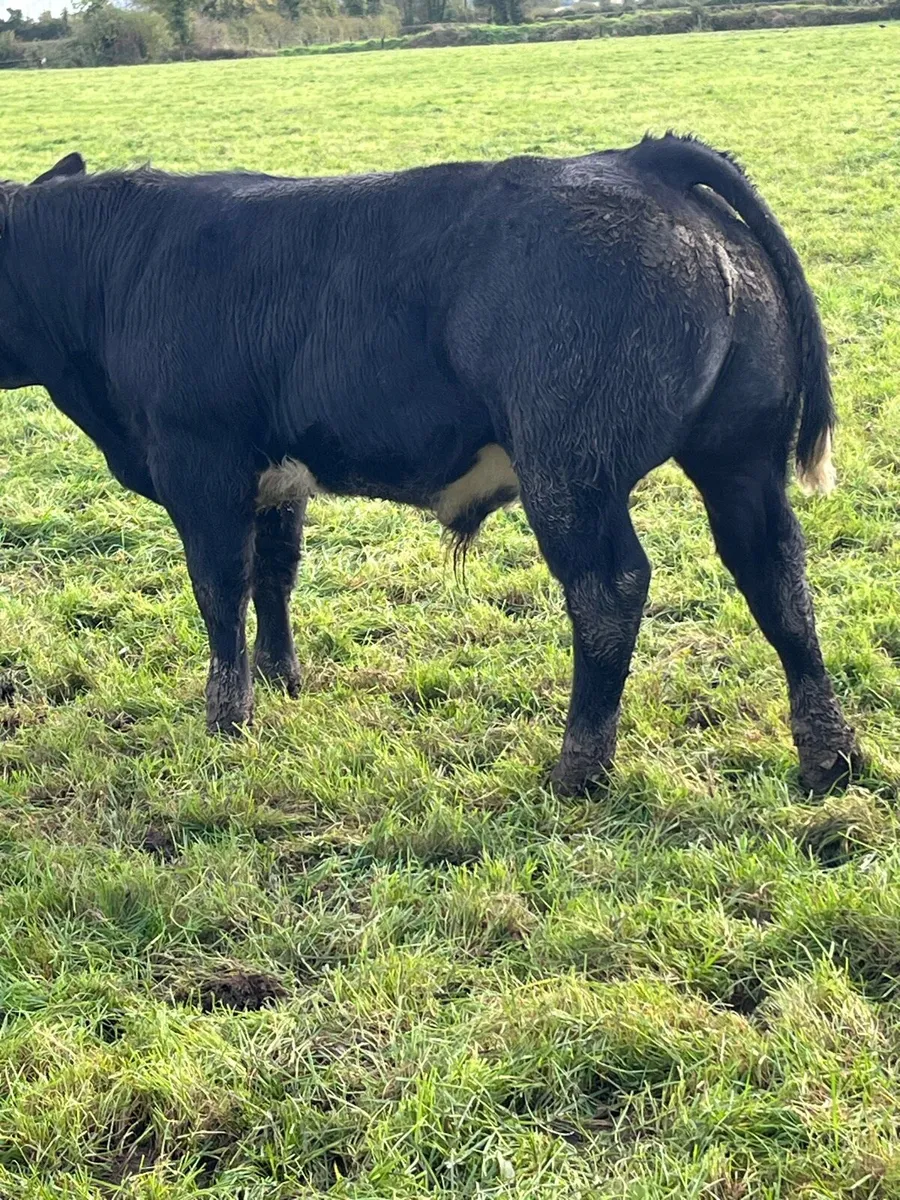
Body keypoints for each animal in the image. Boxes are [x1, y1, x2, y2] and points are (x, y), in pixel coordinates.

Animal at [0, 135, 861, 794]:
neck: (114, 270)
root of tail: (635, 161)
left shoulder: (200, 464)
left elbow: (221, 590)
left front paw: (227, 719)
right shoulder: (277, 478)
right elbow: (275, 576)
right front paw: (281, 683)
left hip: (569, 470)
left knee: (609, 589)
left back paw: (579, 769)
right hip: (741, 458)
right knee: (775, 574)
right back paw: (830, 755)